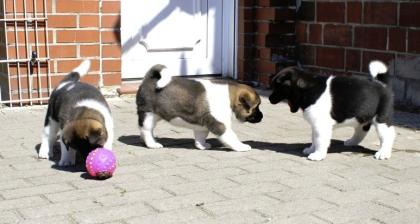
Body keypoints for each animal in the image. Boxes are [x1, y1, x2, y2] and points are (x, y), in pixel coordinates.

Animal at [136, 65, 264, 152]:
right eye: (256, 107)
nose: (262, 117)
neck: (229, 97)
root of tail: (149, 79)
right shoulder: (220, 124)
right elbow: (231, 136)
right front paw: (241, 146)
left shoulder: (203, 124)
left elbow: (201, 136)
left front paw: (201, 146)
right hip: (148, 114)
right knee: (146, 130)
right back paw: (152, 144)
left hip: (155, 115)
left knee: (144, 129)